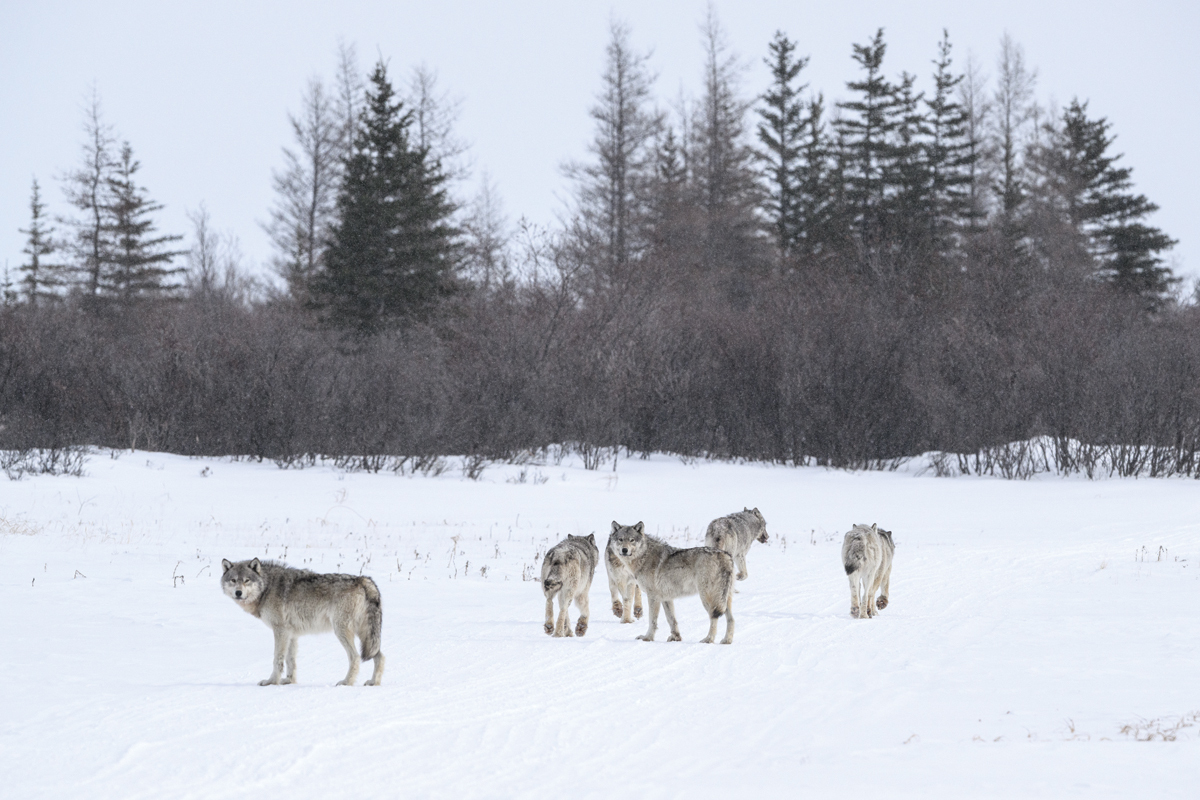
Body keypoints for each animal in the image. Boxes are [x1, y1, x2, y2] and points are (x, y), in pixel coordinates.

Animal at [220, 558, 385, 686]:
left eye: (247, 581)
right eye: (233, 580)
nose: (238, 593)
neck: (267, 587)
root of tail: (364, 579)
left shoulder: (280, 630)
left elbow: (277, 659)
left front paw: (272, 681)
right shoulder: (290, 634)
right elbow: (290, 660)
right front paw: (289, 681)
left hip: (342, 631)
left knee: (355, 657)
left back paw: (347, 682)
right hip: (367, 636)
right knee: (379, 655)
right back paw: (373, 682)